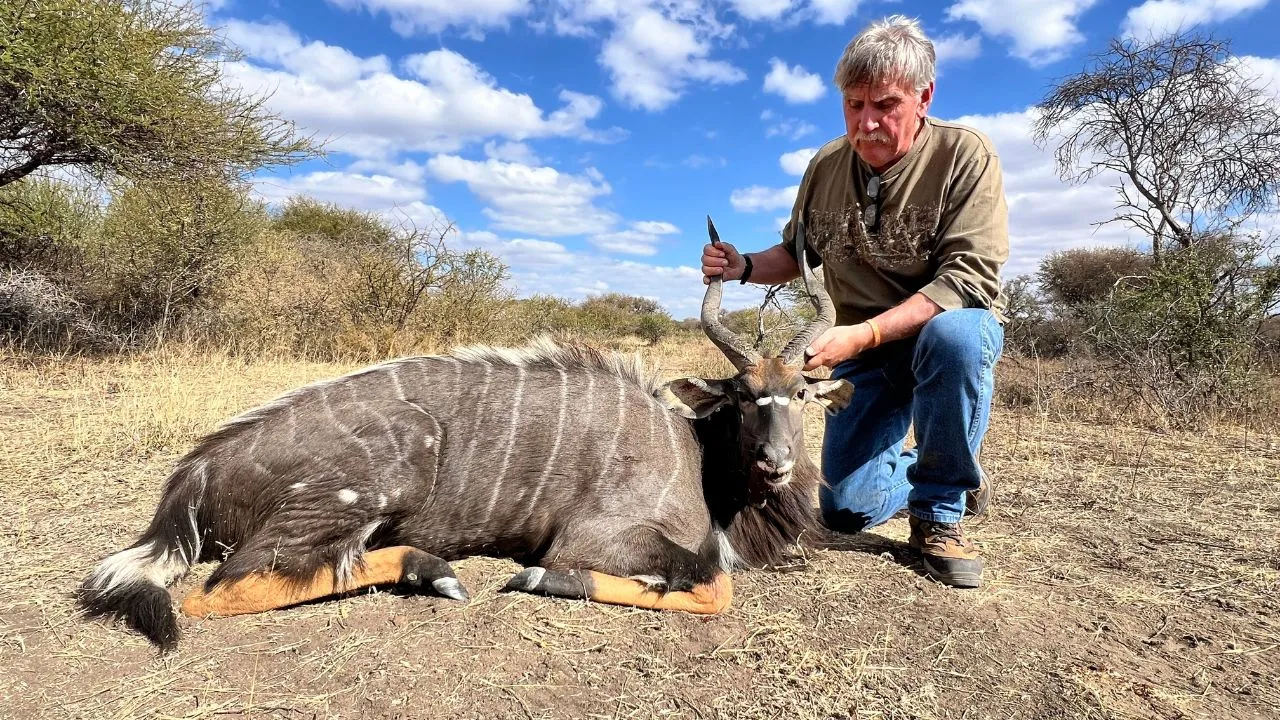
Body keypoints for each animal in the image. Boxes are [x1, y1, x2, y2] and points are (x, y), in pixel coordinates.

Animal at [77, 218, 852, 651]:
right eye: (746, 398)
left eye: (801, 396)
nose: (778, 463)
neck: (696, 454)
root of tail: (196, 470)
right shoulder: (596, 537)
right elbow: (713, 585)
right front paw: (539, 578)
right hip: (371, 479)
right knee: (215, 592)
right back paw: (438, 572)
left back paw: (431, 571)